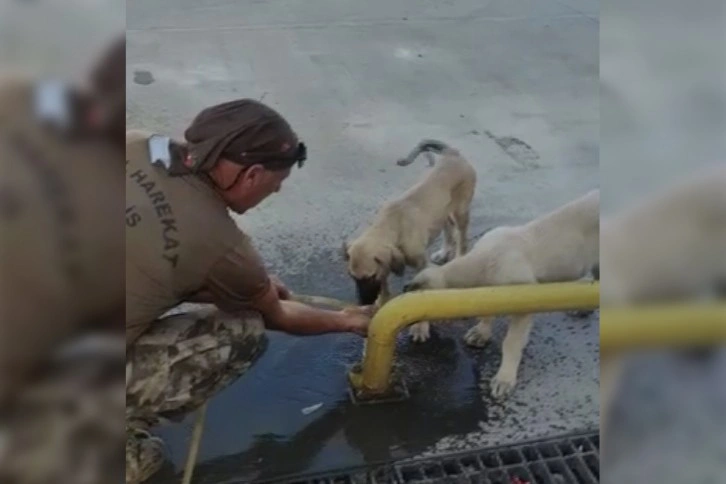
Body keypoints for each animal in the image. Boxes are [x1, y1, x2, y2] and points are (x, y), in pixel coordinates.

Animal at [342, 140, 478, 326]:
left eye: (370, 277)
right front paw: (381, 302)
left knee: (462, 238)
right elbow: (384, 283)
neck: (394, 225)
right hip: (442, 211)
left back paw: (459, 257)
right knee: (447, 228)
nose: (363, 303)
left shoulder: (421, 263)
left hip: (460, 212)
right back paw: (443, 252)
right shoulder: (386, 263)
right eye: (352, 277)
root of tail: (452, 153)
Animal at [404, 189, 604, 398]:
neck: (484, 261)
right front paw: (481, 333)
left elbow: (511, 342)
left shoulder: (524, 303)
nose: (414, 330)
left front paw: (504, 378)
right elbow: (486, 312)